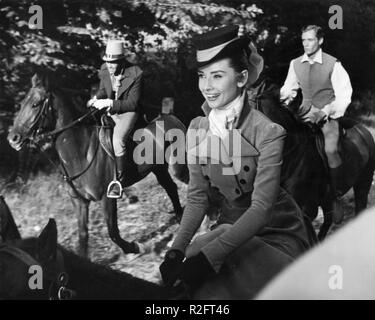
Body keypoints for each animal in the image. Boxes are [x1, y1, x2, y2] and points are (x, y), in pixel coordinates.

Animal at [8, 72, 189, 255]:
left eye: (35, 104)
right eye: (22, 104)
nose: (13, 138)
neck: (81, 153)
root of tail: (170, 116)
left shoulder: (106, 198)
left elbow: (113, 232)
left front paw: (135, 247)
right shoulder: (79, 201)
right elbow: (83, 236)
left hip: (177, 167)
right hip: (159, 169)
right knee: (171, 187)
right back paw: (180, 217)